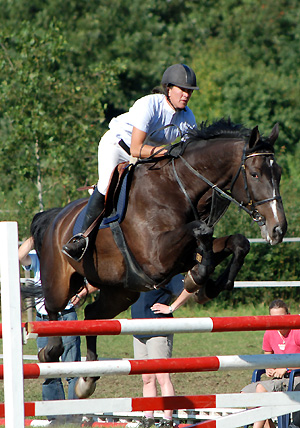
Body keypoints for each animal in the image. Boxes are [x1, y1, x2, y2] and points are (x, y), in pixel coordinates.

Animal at [29, 117, 286, 398]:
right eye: (255, 174)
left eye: (279, 174)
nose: (278, 229)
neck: (178, 188)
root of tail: (53, 217)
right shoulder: (157, 259)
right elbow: (201, 230)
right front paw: (198, 280)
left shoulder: (182, 256)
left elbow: (237, 242)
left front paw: (209, 285)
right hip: (60, 280)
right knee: (53, 310)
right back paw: (50, 352)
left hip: (122, 291)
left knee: (92, 315)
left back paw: (88, 378)